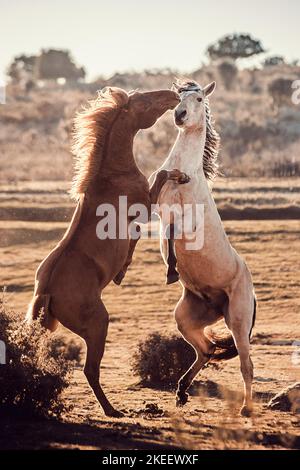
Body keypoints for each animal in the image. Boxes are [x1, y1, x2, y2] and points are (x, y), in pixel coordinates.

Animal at [27, 86, 188, 416]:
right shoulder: (146, 204)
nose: (172, 93)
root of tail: (46, 291)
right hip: (98, 325)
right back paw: (112, 410)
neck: (112, 174)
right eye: (144, 100)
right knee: (91, 370)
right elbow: (162, 175)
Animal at [154, 80, 256, 414]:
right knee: (206, 349)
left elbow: (175, 230)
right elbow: (166, 224)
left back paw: (246, 409)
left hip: (237, 322)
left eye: (199, 98)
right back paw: (181, 391)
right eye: (179, 96)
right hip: (186, 318)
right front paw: (170, 268)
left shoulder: (189, 225)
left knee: (246, 364)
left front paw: (172, 270)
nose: (180, 115)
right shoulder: (157, 211)